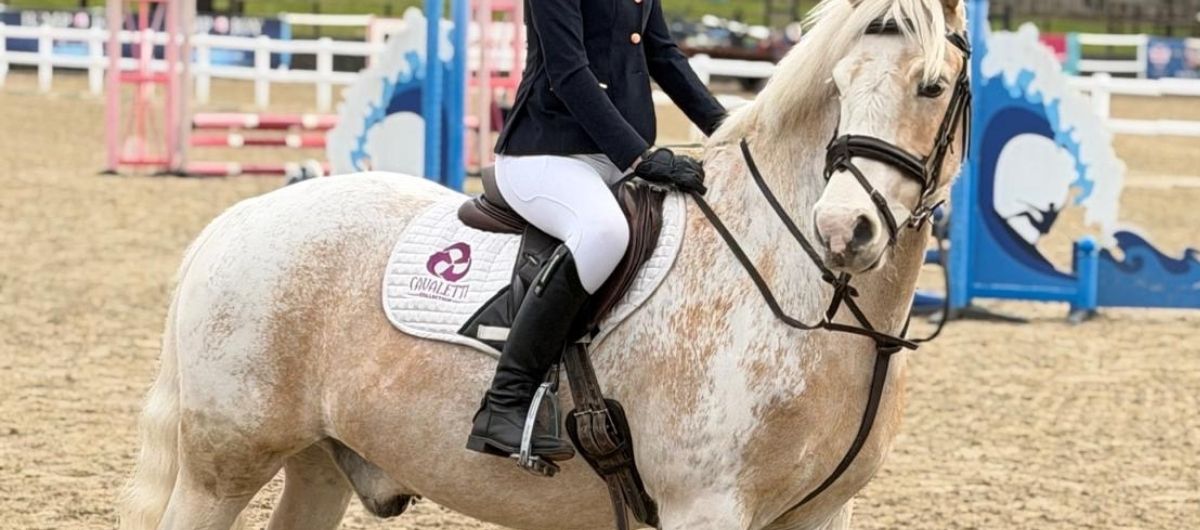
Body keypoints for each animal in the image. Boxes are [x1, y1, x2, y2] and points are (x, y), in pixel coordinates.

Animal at [117, 0, 969, 528]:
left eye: (931, 87)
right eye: (838, 85)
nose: (844, 229)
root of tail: (239, 219)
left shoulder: (821, 513)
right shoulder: (706, 508)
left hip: (320, 462)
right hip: (224, 464)